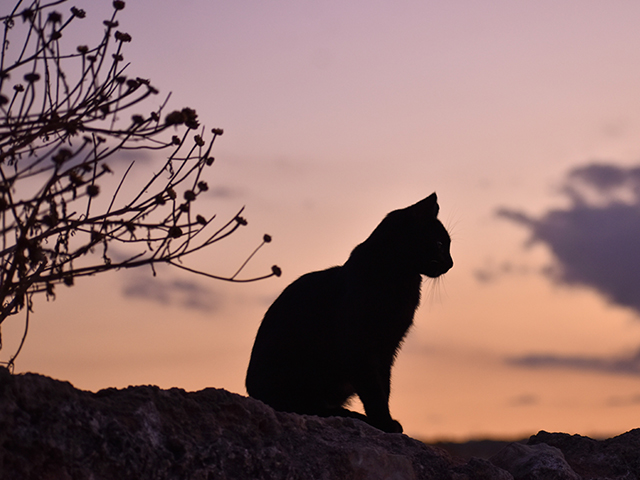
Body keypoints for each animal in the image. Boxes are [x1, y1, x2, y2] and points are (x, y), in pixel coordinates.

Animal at [244, 193, 450, 434]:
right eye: (439, 244)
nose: (451, 263)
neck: (401, 278)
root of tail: (252, 391)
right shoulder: (359, 345)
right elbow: (374, 389)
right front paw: (383, 423)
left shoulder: (388, 348)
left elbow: (384, 386)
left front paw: (384, 421)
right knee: (303, 405)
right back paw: (349, 414)